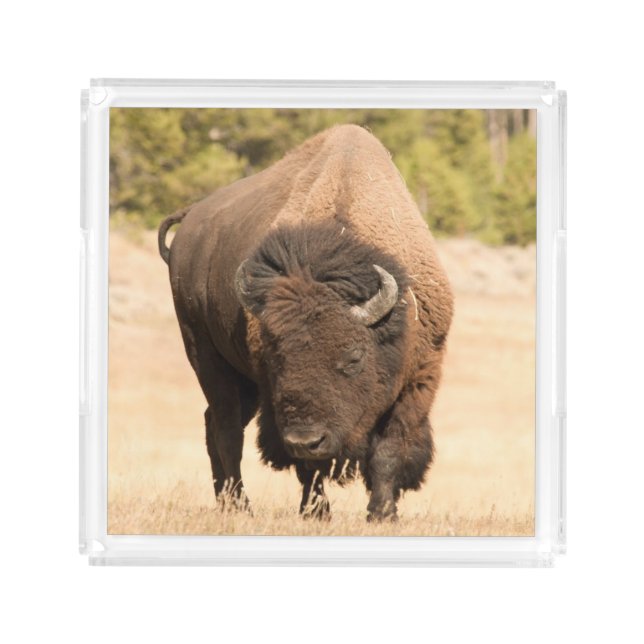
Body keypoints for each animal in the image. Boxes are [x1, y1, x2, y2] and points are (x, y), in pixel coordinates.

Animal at [158, 124, 453, 521]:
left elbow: (390, 449)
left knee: (214, 424)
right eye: (276, 358)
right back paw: (240, 506)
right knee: (226, 429)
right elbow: (308, 467)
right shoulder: (276, 400)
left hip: (242, 383)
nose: (306, 439)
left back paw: (226, 502)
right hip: (205, 356)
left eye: (353, 357)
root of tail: (190, 220)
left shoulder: (419, 378)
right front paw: (317, 513)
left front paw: (382, 514)